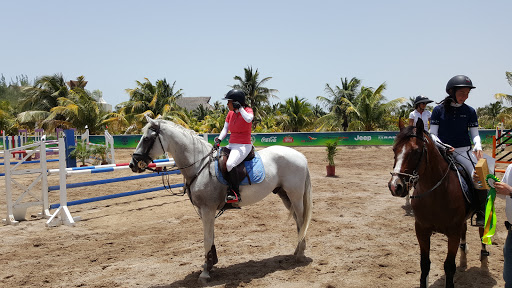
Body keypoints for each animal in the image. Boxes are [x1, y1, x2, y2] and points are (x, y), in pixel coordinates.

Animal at [129, 116, 312, 280]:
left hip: (295, 196)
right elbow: (211, 237)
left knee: (301, 220)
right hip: (285, 195)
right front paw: (210, 264)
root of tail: (300, 156)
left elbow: (206, 239)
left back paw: (300, 254)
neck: (199, 165)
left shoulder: (207, 209)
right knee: (298, 222)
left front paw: (205, 272)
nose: (133, 164)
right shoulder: (203, 211)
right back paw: (297, 250)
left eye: (146, 138)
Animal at [390, 118, 486, 286]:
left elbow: (449, 266)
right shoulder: (421, 230)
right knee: (465, 232)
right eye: (394, 150)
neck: (435, 193)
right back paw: (463, 260)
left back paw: (484, 264)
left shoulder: (453, 233)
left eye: (416, 151)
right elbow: (424, 264)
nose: (395, 186)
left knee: (482, 234)